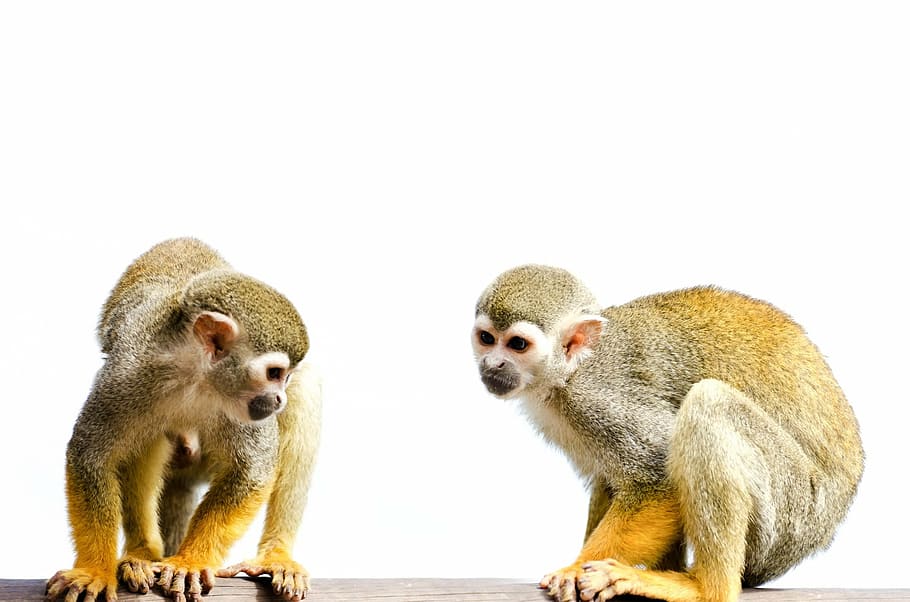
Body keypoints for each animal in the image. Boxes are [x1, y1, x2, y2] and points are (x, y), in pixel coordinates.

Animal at [46, 237, 322, 602]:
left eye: (284, 377)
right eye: (274, 373)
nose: (279, 398)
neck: (196, 375)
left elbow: (253, 470)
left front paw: (190, 562)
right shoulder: (126, 372)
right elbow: (91, 456)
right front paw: (94, 570)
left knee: (306, 393)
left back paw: (276, 556)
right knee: (149, 438)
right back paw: (142, 553)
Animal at [471, 265, 863, 602]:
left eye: (518, 345)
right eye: (486, 339)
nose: (492, 364)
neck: (571, 371)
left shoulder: (599, 399)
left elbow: (657, 476)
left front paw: (574, 569)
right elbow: (613, 480)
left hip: (793, 513)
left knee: (708, 404)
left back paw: (705, 588)